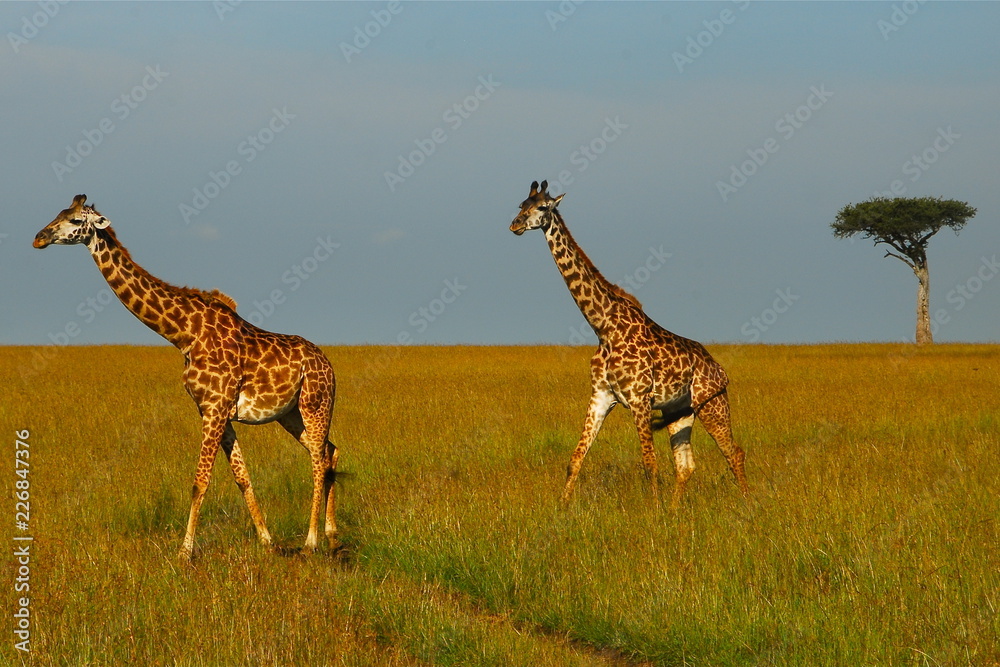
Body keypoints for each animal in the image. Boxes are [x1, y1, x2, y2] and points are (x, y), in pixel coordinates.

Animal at [33, 195, 339, 559]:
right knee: (328, 451)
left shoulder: (216, 409)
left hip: (315, 403)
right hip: (289, 414)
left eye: (76, 220)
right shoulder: (211, 410)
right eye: (58, 213)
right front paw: (267, 541)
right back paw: (332, 535)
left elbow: (199, 481)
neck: (183, 334)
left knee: (318, 460)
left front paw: (184, 552)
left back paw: (311, 541)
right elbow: (242, 477)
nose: (39, 237)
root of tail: (329, 365)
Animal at [509, 181, 749, 507]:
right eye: (520, 205)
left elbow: (649, 463)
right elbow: (576, 458)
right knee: (686, 465)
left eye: (543, 207)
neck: (604, 327)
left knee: (734, 453)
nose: (515, 225)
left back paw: (750, 505)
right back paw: (676, 510)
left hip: (713, 404)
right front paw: (562, 507)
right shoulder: (600, 396)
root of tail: (720, 370)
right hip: (679, 412)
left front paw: (654, 510)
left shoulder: (639, 398)